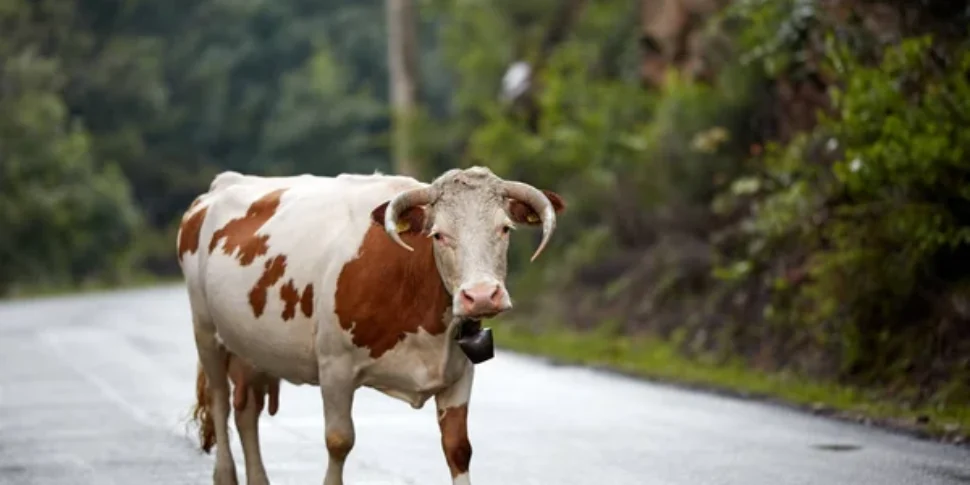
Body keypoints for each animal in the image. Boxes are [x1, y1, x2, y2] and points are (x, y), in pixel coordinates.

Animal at [176, 166, 565, 485]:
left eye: (505, 229)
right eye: (438, 235)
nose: (482, 295)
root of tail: (223, 184)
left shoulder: (460, 372)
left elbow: (458, 448)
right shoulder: (335, 369)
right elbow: (338, 442)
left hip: (253, 349)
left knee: (247, 411)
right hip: (205, 332)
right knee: (221, 402)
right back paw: (225, 475)